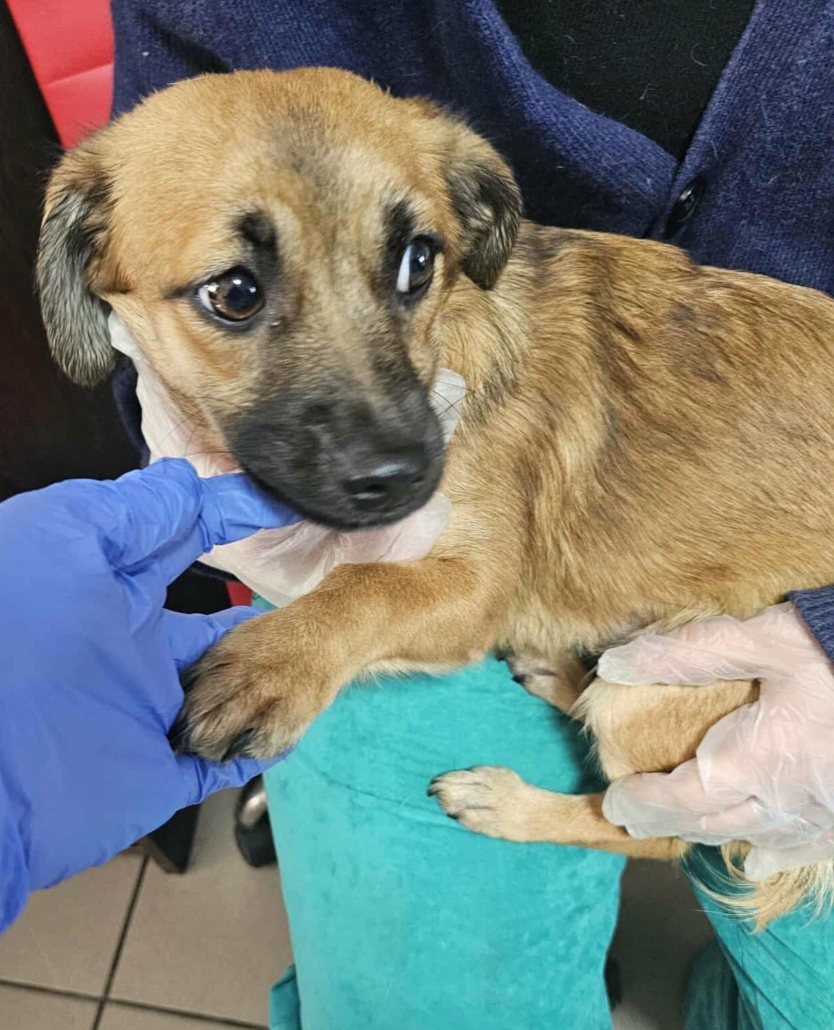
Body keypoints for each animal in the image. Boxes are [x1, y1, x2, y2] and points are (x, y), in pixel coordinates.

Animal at [37, 68, 834, 926]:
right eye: (236, 293)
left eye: (419, 261)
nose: (408, 475)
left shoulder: (476, 585)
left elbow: (367, 584)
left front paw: (275, 663)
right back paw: (559, 674)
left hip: (663, 695)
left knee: (653, 829)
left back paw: (508, 800)